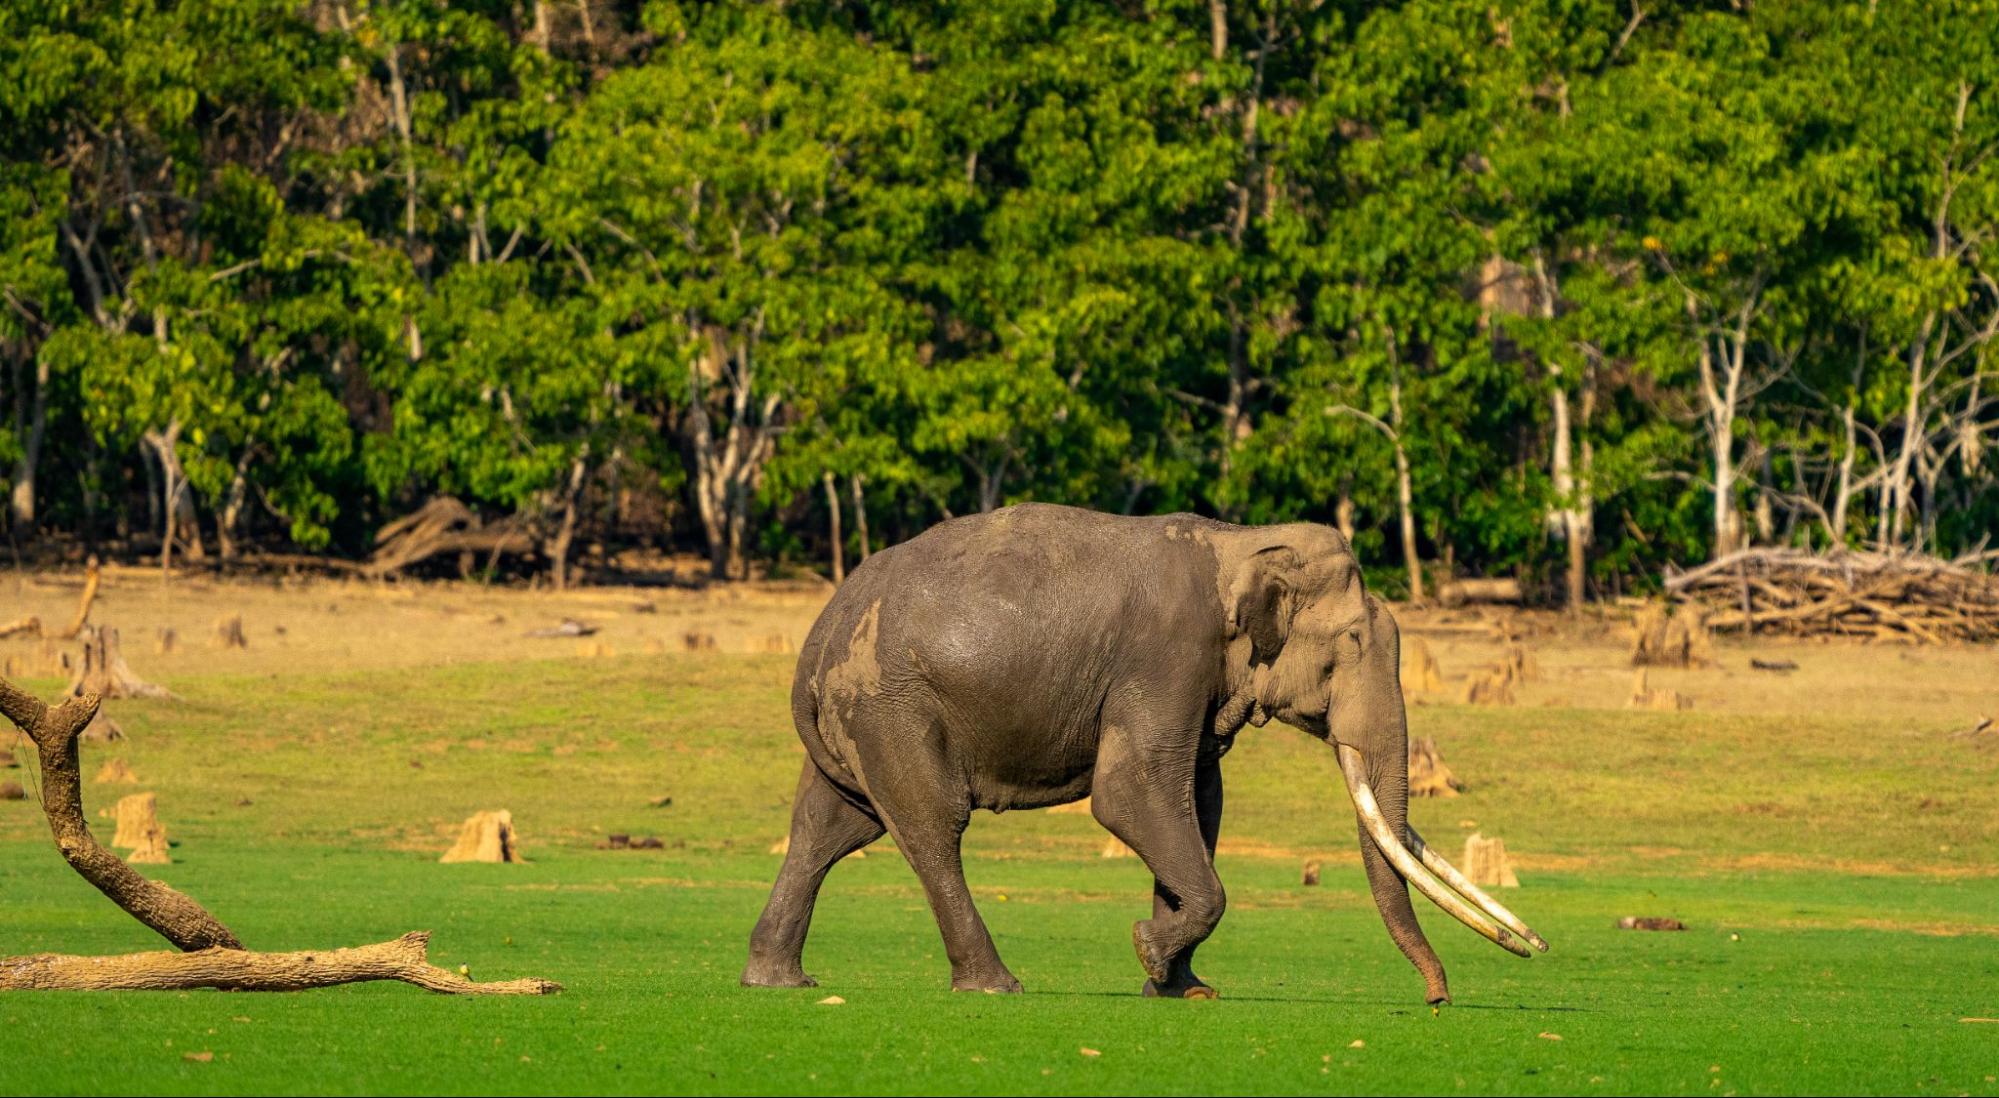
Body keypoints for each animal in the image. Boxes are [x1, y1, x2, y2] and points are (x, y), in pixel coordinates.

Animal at [741, 502, 1546, 1002]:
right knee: (931, 829)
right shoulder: (1167, 656)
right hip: (894, 707)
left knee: (828, 827)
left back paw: (777, 981)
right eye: (1350, 644)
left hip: (859, 720)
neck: (1239, 541)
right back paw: (997, 983)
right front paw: (1147, 949)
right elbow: (1130, 793)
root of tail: (816, 639)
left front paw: (1181, 987)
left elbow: (1199, 803)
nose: (1438, 998)